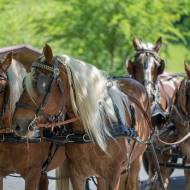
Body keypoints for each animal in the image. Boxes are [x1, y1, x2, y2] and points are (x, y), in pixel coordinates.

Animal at [12, 44, 151, 190]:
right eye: (23, 83)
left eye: (40, 84)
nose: (17, 124)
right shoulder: (77, 174)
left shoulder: (113, 176)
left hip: (135, 162)